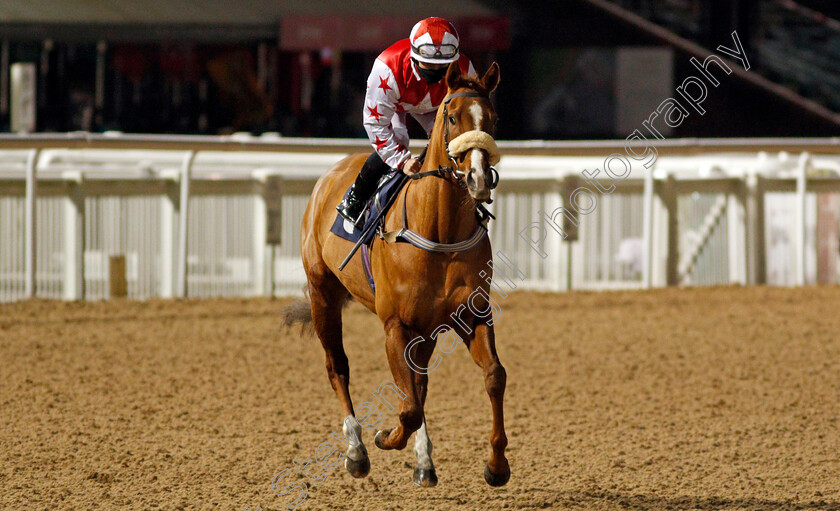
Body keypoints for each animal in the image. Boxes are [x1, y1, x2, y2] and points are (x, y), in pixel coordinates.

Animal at [288, 62, 512, 490]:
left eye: (492, 118)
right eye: (452, 116)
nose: (477, 178)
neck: (440, 231)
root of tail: (327, 177)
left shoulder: (471, 315)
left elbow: (493, 375)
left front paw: (496, 464)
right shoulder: (395, 325)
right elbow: (407, 406)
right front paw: (385, 438)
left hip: (426, 329)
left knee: (418, 384)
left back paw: (424, 461)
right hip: (323, 294)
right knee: (338, 367)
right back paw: (357, 451)